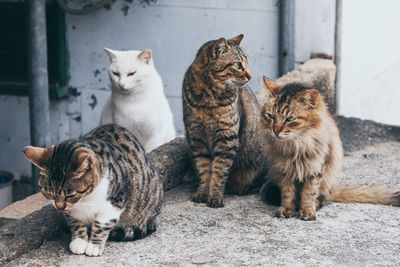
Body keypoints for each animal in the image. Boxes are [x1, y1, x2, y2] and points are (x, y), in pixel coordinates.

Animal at [21, 125, 162, 258]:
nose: (60, 207)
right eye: (49, 194)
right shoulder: (72, 211)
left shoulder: (114, 204)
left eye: (70, 195)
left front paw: (94, 246)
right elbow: (75, 222)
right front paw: (79, 241)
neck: (86, 199)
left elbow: (101, 226)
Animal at [260, 77, 400, 222]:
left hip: (327, 179)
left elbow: (309, 193)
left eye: (290, 118)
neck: (296, 146)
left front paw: (307, 211)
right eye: (271, 116)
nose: (276, 131)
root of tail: (333, 188)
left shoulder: (316, 168)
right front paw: (287, 209)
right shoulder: (285, 169)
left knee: (323, 198)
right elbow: (288, 193)